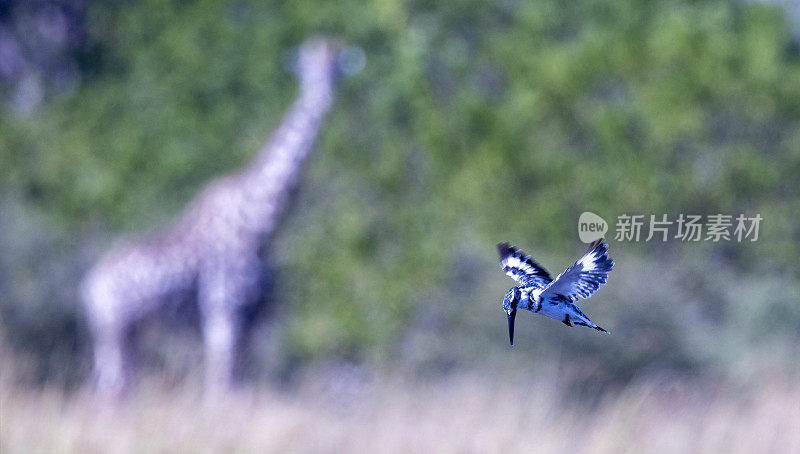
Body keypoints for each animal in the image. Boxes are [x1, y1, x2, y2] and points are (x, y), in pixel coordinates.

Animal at [80, 37, 344, 396]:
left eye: (337, 65)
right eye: (310, 67)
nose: (327, 95)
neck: (261, 222)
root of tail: (89, 287)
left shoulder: (254, 321)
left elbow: (240, 387)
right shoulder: (222, 312)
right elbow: (220, 388)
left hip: (127, 335)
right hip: (113, 331)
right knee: (111, 389)